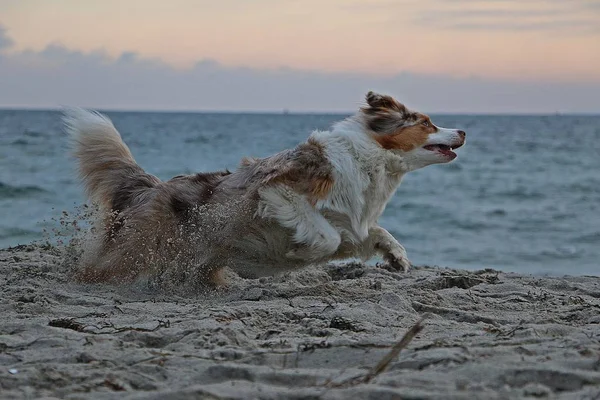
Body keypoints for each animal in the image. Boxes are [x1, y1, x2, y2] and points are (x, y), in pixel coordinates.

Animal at [67, 92, 468, 290]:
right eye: (427, 123)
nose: (464, 131)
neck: (369, 158)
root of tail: (150, 187)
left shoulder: (351, 222)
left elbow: (373, 232)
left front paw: (397, 257)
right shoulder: (277, 191)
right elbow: (325, 237)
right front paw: (300, 251)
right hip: (139, 250)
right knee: (99, 271)